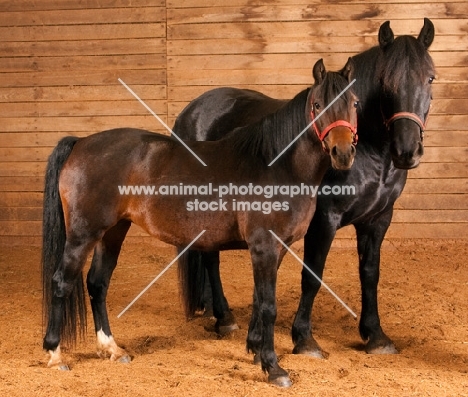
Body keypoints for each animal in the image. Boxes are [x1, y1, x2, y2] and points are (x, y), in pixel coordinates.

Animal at [42, 57, 356, 386]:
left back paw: (112, 349)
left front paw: (257, 353)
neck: (277, 165)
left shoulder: (277, 249)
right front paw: (273, 367)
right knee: (62, 282)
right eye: (318, 104)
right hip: (83, 234)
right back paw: (55, 354)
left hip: (113, 231)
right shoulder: (265, 247)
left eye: (354, 103)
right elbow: (269, 306)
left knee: (97, 282)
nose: (343, 153)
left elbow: (259, 301)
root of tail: (81, 142)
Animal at [175, 18, 436, 356]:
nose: (406, 150)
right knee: (211, 258)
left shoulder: (378, 219)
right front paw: (304, 338)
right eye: (385, 80)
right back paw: (224, 318)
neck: (371, 153)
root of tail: (191, 112)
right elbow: (312, 276)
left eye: (430, 78)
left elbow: (370, 273)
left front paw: (375, 335)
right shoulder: (324, 220)